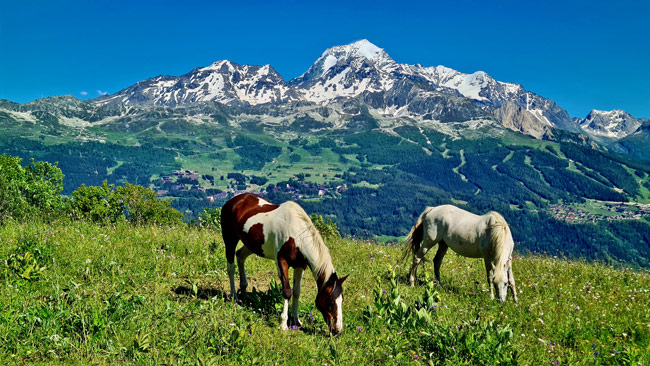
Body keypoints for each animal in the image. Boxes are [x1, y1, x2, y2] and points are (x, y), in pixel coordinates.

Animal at [220, 193, 346, 334]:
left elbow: (296, 291)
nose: (337, 330)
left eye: (341, 300)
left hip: (251, 245)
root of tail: (234, 200)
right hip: (230, 239)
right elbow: (287, 291)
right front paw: (283, 324)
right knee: (231, 267)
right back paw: (234, 297)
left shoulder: (300, 266)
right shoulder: (282, 262)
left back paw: (243, 288)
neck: (296, 235)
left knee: (240, 256)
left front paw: (296, 320)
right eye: (331, 302)